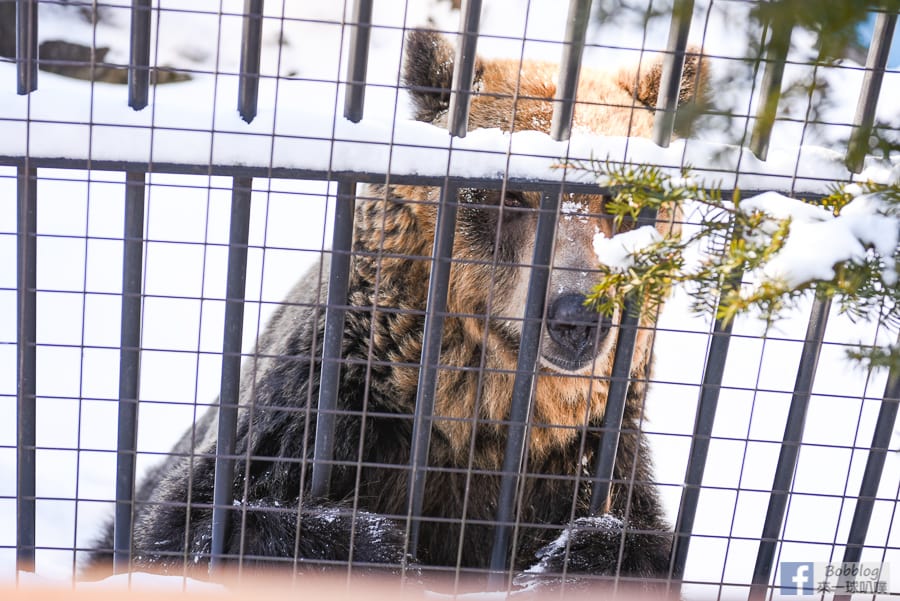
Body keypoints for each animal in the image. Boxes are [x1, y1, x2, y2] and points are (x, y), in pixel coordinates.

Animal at [86, 29, 704, 592]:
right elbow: (186, 531)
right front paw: (380, 552)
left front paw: (570, 562)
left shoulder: (588, 453)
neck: (476, 420)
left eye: (626, 202)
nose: (579, 316)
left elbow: (637, 545)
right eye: (509, 196)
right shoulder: (318, 410)